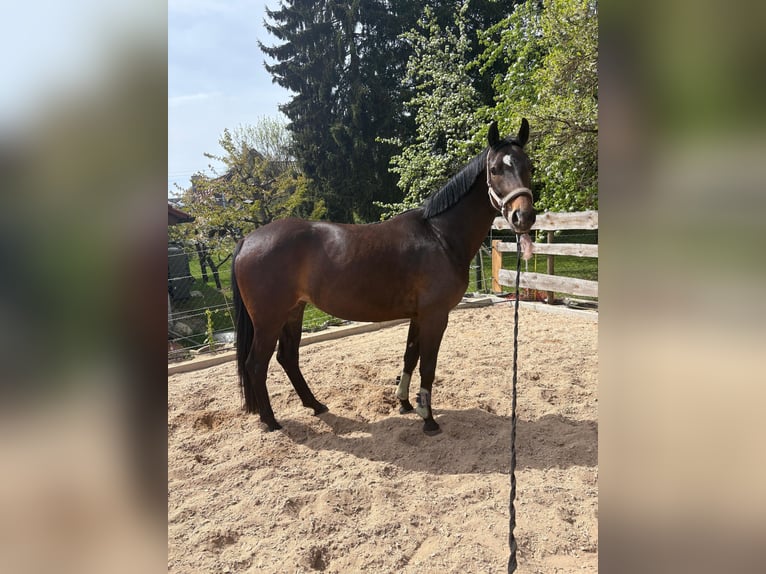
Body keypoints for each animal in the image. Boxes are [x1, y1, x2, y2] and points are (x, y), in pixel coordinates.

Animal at [231, 119, 536, 434]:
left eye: (530, 166)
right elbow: (427, 366)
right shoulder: (435, 315)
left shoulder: (418, 315)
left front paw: (405, 403)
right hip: (269, 320)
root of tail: (247, 240)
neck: (439, 235)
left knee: (287, 358)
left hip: (293, 311)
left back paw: (315, 405)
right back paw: (271, 421)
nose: (523, 217)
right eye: (495, 169)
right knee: (256, 364)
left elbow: (409, 357)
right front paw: (428, 419)